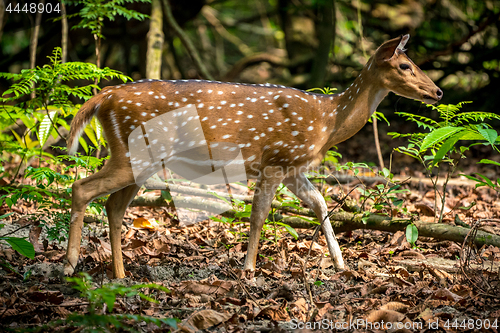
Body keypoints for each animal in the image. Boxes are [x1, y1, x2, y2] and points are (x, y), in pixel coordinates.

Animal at [63, 34, 442, 278]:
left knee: (113, 205)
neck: (326, 121)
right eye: (405, 65)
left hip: (139, 159)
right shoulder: (275, 158)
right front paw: (249, 269)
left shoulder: (293, 166)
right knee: (82, 188)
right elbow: (259, 214)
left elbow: (320, 203)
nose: (438, 91)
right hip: (133, 153)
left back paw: (120, 274)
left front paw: (341, 264)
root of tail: (104, 96)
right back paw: (69, 265)